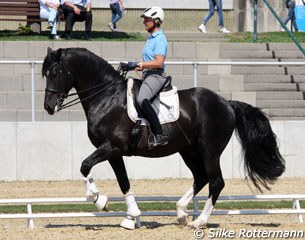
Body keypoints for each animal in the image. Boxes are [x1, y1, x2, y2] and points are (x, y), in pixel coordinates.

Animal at [42, 47, 284, 229]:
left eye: (54, 73)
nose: (48, 107)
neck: (106, 97)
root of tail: (227, 103)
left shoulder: (112, 147)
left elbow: (84, 165)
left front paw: (99, 200)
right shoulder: (114, 152)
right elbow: (123, 182)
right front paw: (131, 216)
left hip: (209, 150)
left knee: (216, 182)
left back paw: (199, 222)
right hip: (188, 150)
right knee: (201, 178)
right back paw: (181, 213)